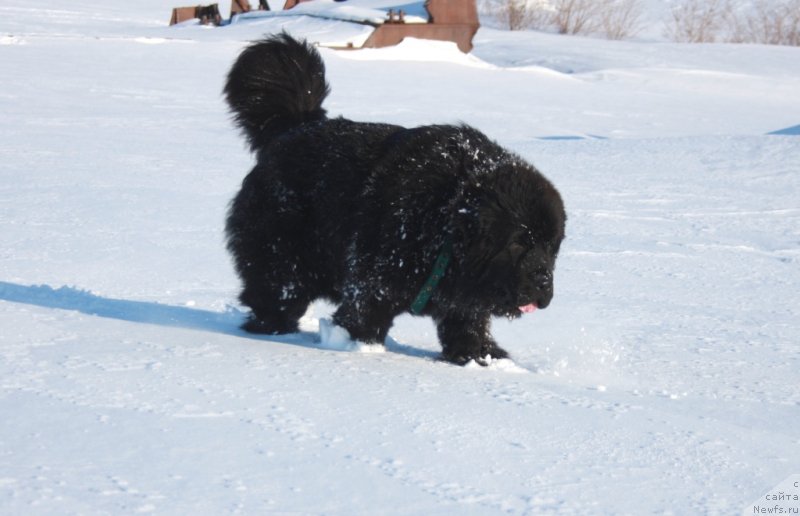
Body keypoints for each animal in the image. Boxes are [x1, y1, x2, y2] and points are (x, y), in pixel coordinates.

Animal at [222, 33, 564, 362]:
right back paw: (271, 327)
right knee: (277, 292)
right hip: (282, 252)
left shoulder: (463, 299)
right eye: (518, 242)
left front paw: (480, 354)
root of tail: (292, 129)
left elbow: (467, 321)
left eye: (551, 246)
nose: (544, 281)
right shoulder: (373, 281)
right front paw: (358, 346)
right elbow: (365, 315)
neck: (444, 220)